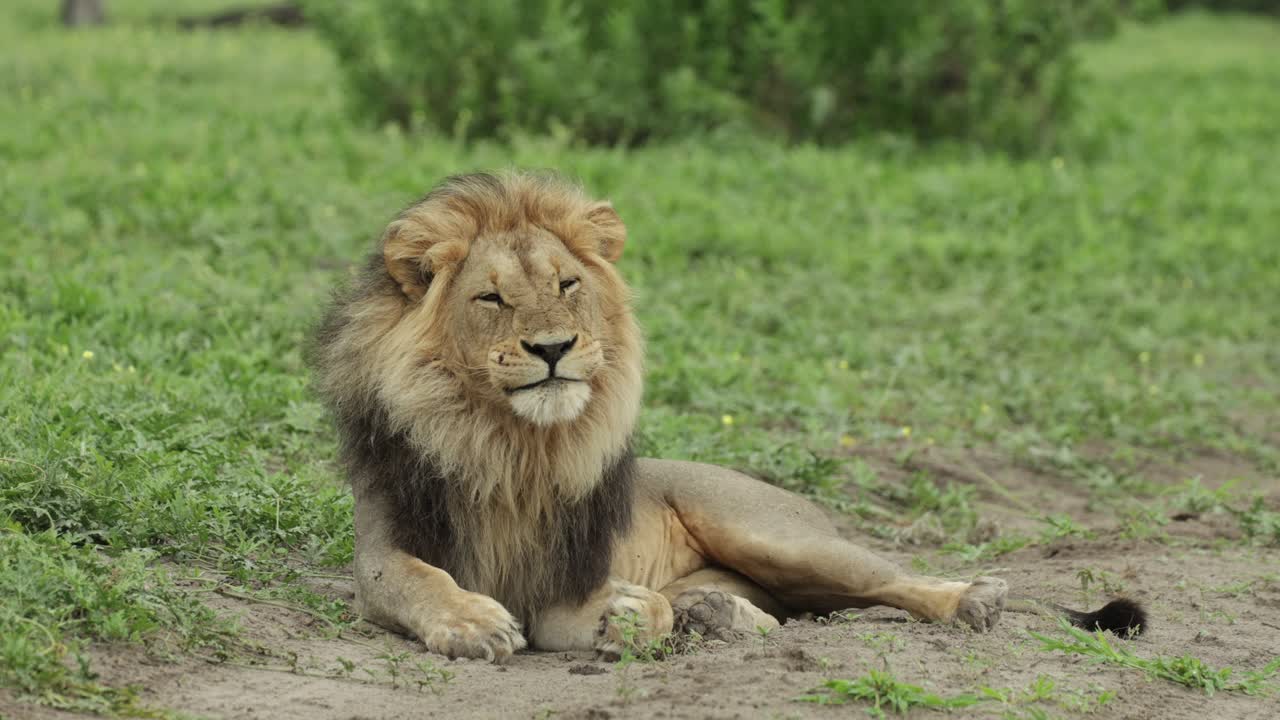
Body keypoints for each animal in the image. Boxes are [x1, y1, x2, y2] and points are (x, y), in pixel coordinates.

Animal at [310, 171, 1145, 661]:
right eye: (490, 297)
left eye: (567, 284)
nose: (552, 348)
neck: (509, 441)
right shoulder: (385, 548)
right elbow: (418, 580)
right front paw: (475, 622)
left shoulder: (567, 571)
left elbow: (584, 613)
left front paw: (627, 617)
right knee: (788, 616)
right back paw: (715, 614)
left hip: (780, 537)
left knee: (889, 583)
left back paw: (972, 600)